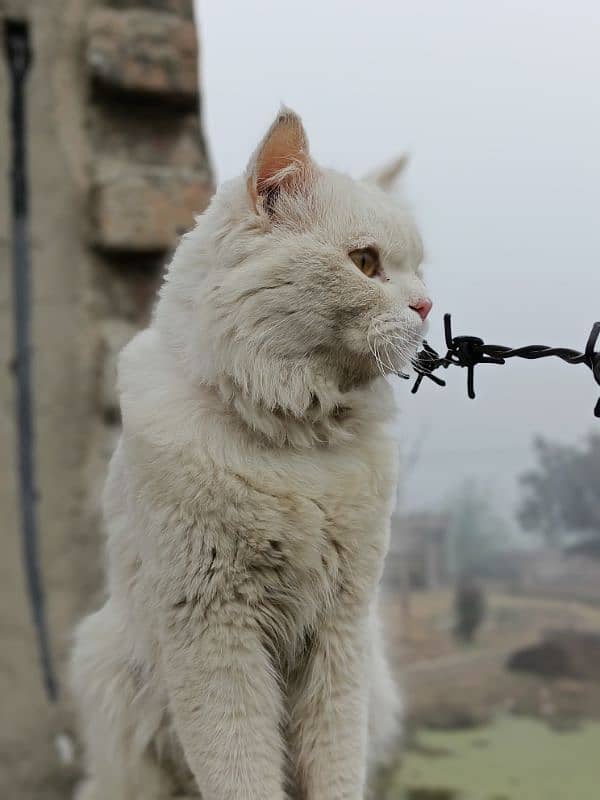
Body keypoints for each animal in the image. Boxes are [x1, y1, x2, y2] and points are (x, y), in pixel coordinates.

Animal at [70, 108, 432, 800]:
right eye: (365, 262)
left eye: (420, 270)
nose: (426, 307)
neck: (297, 440)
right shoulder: (214, 629)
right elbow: (240, 768)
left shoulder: (342, 630)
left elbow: (336, 765)